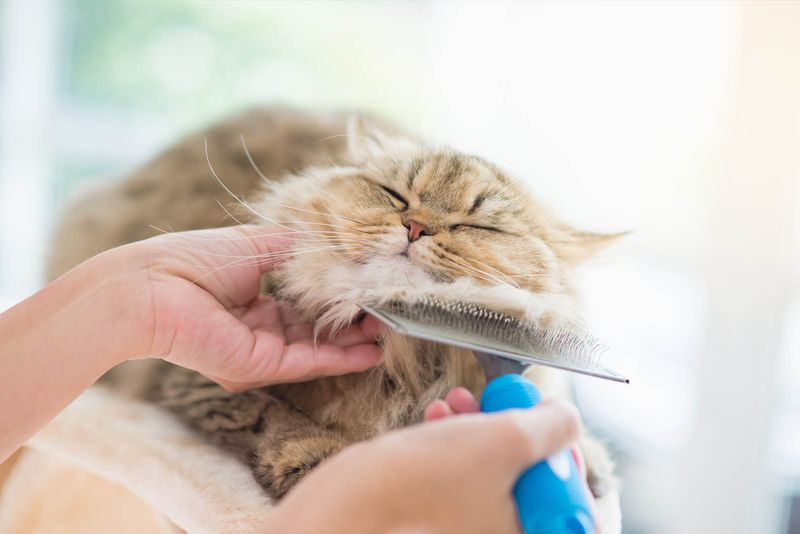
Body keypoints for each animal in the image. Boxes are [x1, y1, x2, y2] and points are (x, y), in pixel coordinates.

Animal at [47, 109, 620, 528]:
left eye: (477, 225)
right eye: (396, 196)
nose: (416, 227)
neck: (400, 367)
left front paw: (587, 462)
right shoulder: (193, 377)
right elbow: (272, 419)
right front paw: (320, 460)